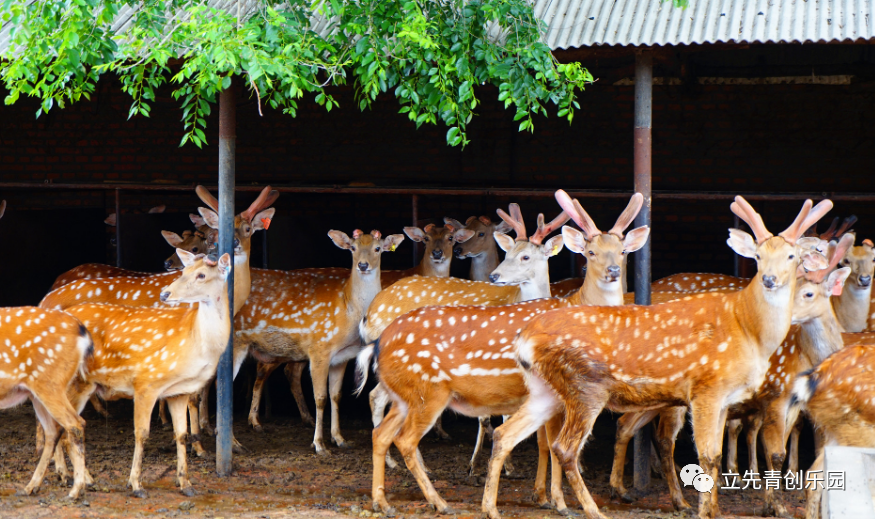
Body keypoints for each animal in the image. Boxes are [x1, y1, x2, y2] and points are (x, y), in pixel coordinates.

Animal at [236, 230, 408, 452]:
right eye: (353, 247)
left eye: (377, 248)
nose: (363, 265)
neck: (348, 311)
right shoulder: (320, 348)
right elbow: (320, 398)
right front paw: (319, 444)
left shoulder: (343, 357)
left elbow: (336, 395)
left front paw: (340, 438)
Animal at [356, 193, 652, 516]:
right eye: (590, 251)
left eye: (622, 251)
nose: (613, 272)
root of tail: (376, 334)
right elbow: (549, 444)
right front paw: (555, 501)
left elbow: (544, 442)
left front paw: (546, 496)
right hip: (426, 394)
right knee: (400, 433)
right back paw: (439, 501)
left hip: (405, 396)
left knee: (381, 432)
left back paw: (383, 501)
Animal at [482, 195, 832, 519]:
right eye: (758, 256)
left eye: (791, 256)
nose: (770, 280)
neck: (747, 329)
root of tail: (524, 338)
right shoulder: (707, 388)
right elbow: (707, 457)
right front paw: (702, 511)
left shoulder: (726, 397)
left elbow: (716, 456)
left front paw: (713, 509)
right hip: (585, 386)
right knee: (563, 448)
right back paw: (592, 510)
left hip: (546, 390)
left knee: (505, 434)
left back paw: (490, 507)